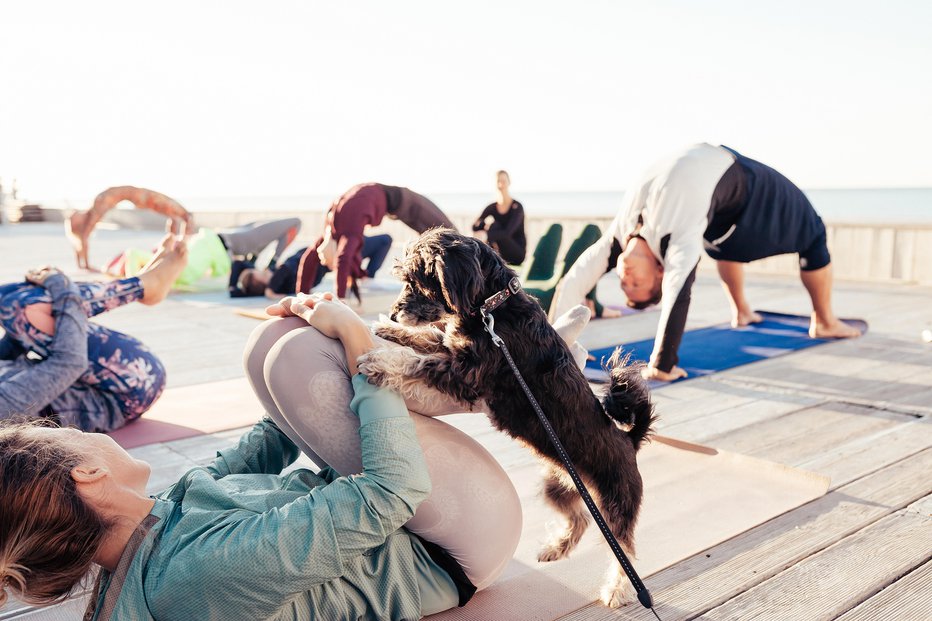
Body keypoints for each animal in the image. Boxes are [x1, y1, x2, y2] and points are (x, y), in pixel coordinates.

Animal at [354, 229, 656, 604]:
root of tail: (629, 440)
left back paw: (615, 591)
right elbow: (431, 337)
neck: (492, 306)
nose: (395, 314)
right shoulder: (452, 348)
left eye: (416, 281)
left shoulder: (465, 374)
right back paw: (555, 548)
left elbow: (416, 363)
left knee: (625, 551)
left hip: (616, 509)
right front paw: (388, 330)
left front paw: (379, 362)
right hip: (556, 488)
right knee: (580, 520)